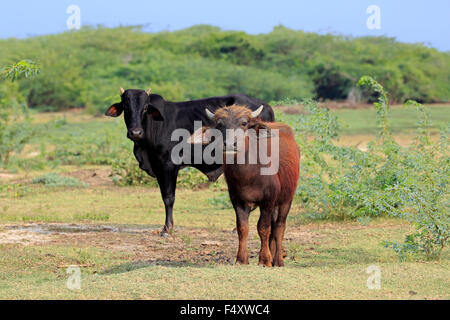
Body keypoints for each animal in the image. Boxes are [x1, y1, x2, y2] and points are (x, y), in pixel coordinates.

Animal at [106, 89, 276, 236]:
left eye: (145, 108)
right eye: (125, 107)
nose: (135, 132)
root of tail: (266, 106)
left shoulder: (168, 166)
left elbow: (169, 197)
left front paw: (167, 228)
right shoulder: (159, 168)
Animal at [189, 105, 298, 268]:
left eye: (244, 123)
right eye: (220, 125)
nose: (230, 144)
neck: (248, 175)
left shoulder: (268, 201)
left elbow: (263, 228)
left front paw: (264, 259)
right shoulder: (237, 200)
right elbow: (242, 228)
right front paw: (241, 259)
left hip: (286, 199)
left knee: (279, 227)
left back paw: (278, 260)